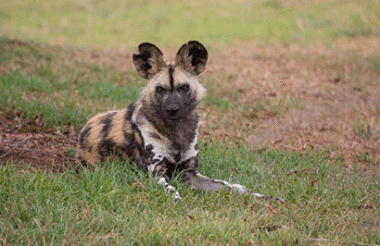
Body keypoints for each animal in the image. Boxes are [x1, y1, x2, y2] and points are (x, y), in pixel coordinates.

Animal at [76, 40, 280, 201]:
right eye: (160, 89)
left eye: (184, 87)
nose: (172, 109)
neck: (175, 132)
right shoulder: (157, 174)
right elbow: (170, 189)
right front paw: (176, 199)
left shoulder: (189, 173)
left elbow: (232, 186)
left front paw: (259, 196)